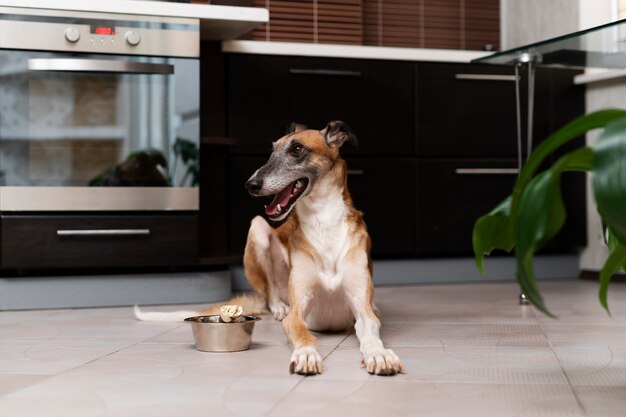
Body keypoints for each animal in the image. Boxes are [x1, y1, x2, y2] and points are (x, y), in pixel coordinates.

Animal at [134, 121, 402, 376]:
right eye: (271, 151)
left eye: (297, 149)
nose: (250, 184)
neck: (322, 221)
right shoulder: (298, 310)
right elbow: (303, 333)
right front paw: (306, 354)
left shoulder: (362, 308)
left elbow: (370, 333)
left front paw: (379, 354)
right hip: (258, 228)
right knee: (272, 291)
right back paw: (278, 307)